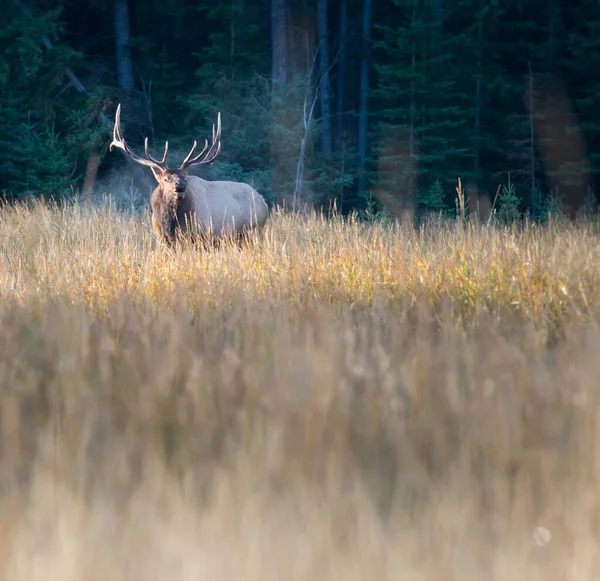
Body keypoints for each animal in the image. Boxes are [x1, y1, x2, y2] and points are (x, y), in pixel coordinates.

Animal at [109, 104, 268, 245]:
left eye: (185, 177)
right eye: (166, 179)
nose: (180, 185)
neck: (170, 226)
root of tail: (263, 202)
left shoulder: (203, 235)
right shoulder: (162, 238)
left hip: (253, 230)